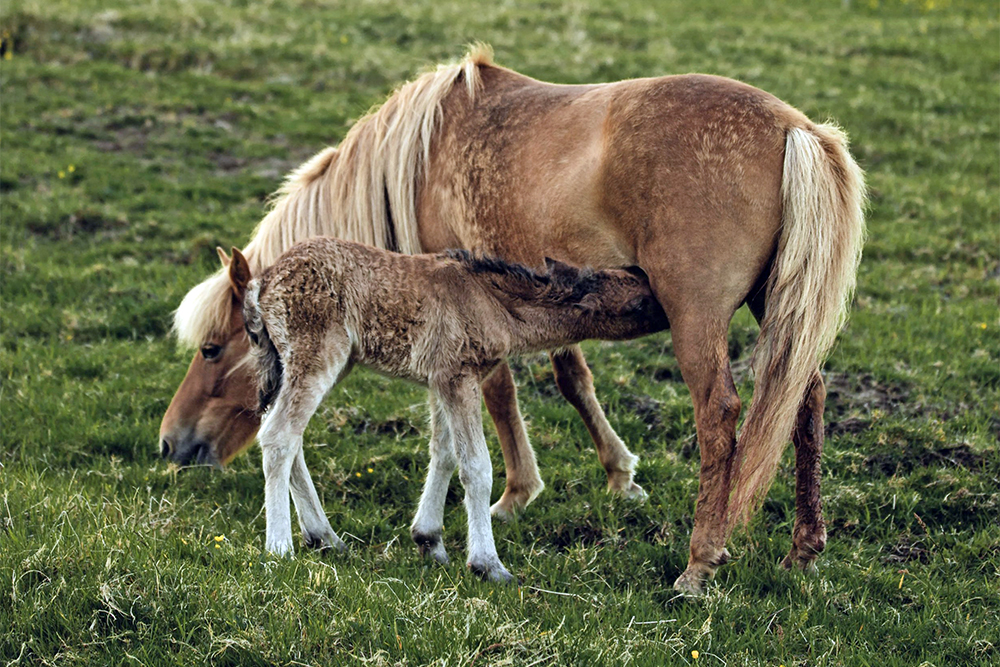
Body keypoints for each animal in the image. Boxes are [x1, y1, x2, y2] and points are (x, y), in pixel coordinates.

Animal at [226, 237, 664, 580]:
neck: (493, 304)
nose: (670, 311)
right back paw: (280, 547)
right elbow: (476, 465)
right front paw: (488, 564)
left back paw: (326, 538)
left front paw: (429, 541)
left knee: (284, 432)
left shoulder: (439, 380)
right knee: (279, 435)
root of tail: (262, 285)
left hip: (304, 362)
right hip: (315, 353)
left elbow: (444, 453)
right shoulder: (458, 374)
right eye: (639, 303)